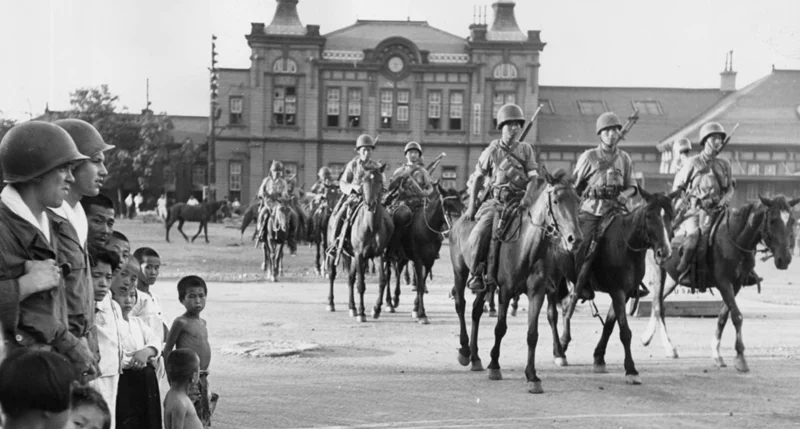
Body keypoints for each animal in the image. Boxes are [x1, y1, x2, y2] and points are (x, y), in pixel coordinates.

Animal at [324, 164, 394, 320]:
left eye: (380, 181)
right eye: (363, 182)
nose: (371, 204)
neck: (371, 226)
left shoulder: (378, 255)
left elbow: (382, 281)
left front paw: (376, 309)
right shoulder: (359, 254)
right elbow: (361, 284)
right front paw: (362, 313)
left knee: (350, 278)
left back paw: (352, 307)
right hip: (336, 254)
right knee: (332, 274)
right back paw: (331, 303)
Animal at [378, 182, 466, 322]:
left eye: (461, 204)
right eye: (447, 204)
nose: (456, 225)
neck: (426, 228)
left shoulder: (429, 261)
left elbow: (422, 283)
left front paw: (416, 309)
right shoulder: (418, 261)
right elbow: (419, 284)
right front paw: (422, 314)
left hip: (403, 257)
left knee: (398, 272)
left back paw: (395, 299)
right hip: (388, 255)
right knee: (388, 275)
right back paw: (388, 303)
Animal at [450, 168, 580, 394]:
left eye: (578, 200)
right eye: (556, 200)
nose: (575, 238)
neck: (526, 248)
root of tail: (459, 220)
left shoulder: (537, 292)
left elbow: (533, 334)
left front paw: (532, 376)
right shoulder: (505, 291)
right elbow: (500, 328)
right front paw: (494, 365)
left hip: (486, 285)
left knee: (475, 310)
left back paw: (475, 356)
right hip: (460, 271)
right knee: (461, 305)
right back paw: (465, 350)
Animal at [640, 194, 796, 372]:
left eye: (792, 220)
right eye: (773, 220)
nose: (785, 259)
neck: (735, 239)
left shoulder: (736, 284)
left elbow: (723, 316)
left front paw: (716, 353)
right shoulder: (723, 282)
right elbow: (737, 316)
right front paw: (740, 358)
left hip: (673, 279)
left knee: (656, 302)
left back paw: (647, 337)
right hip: (659, 271)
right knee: (658, 306)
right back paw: (669, 347)